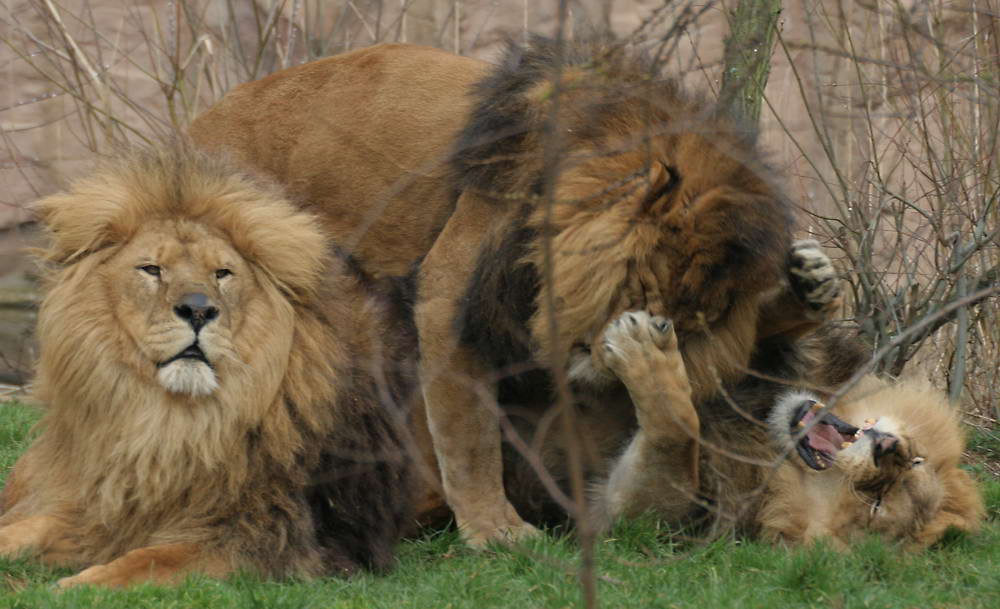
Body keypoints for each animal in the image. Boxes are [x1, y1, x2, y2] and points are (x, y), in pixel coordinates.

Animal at [0, 142, 418, 584]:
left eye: (222, 273)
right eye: (152, 269)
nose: (198, 310)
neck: (172, 425)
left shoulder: (262, 538)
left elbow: (148, 559)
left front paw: (75, 585)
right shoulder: (98, 505)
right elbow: (32, 525)